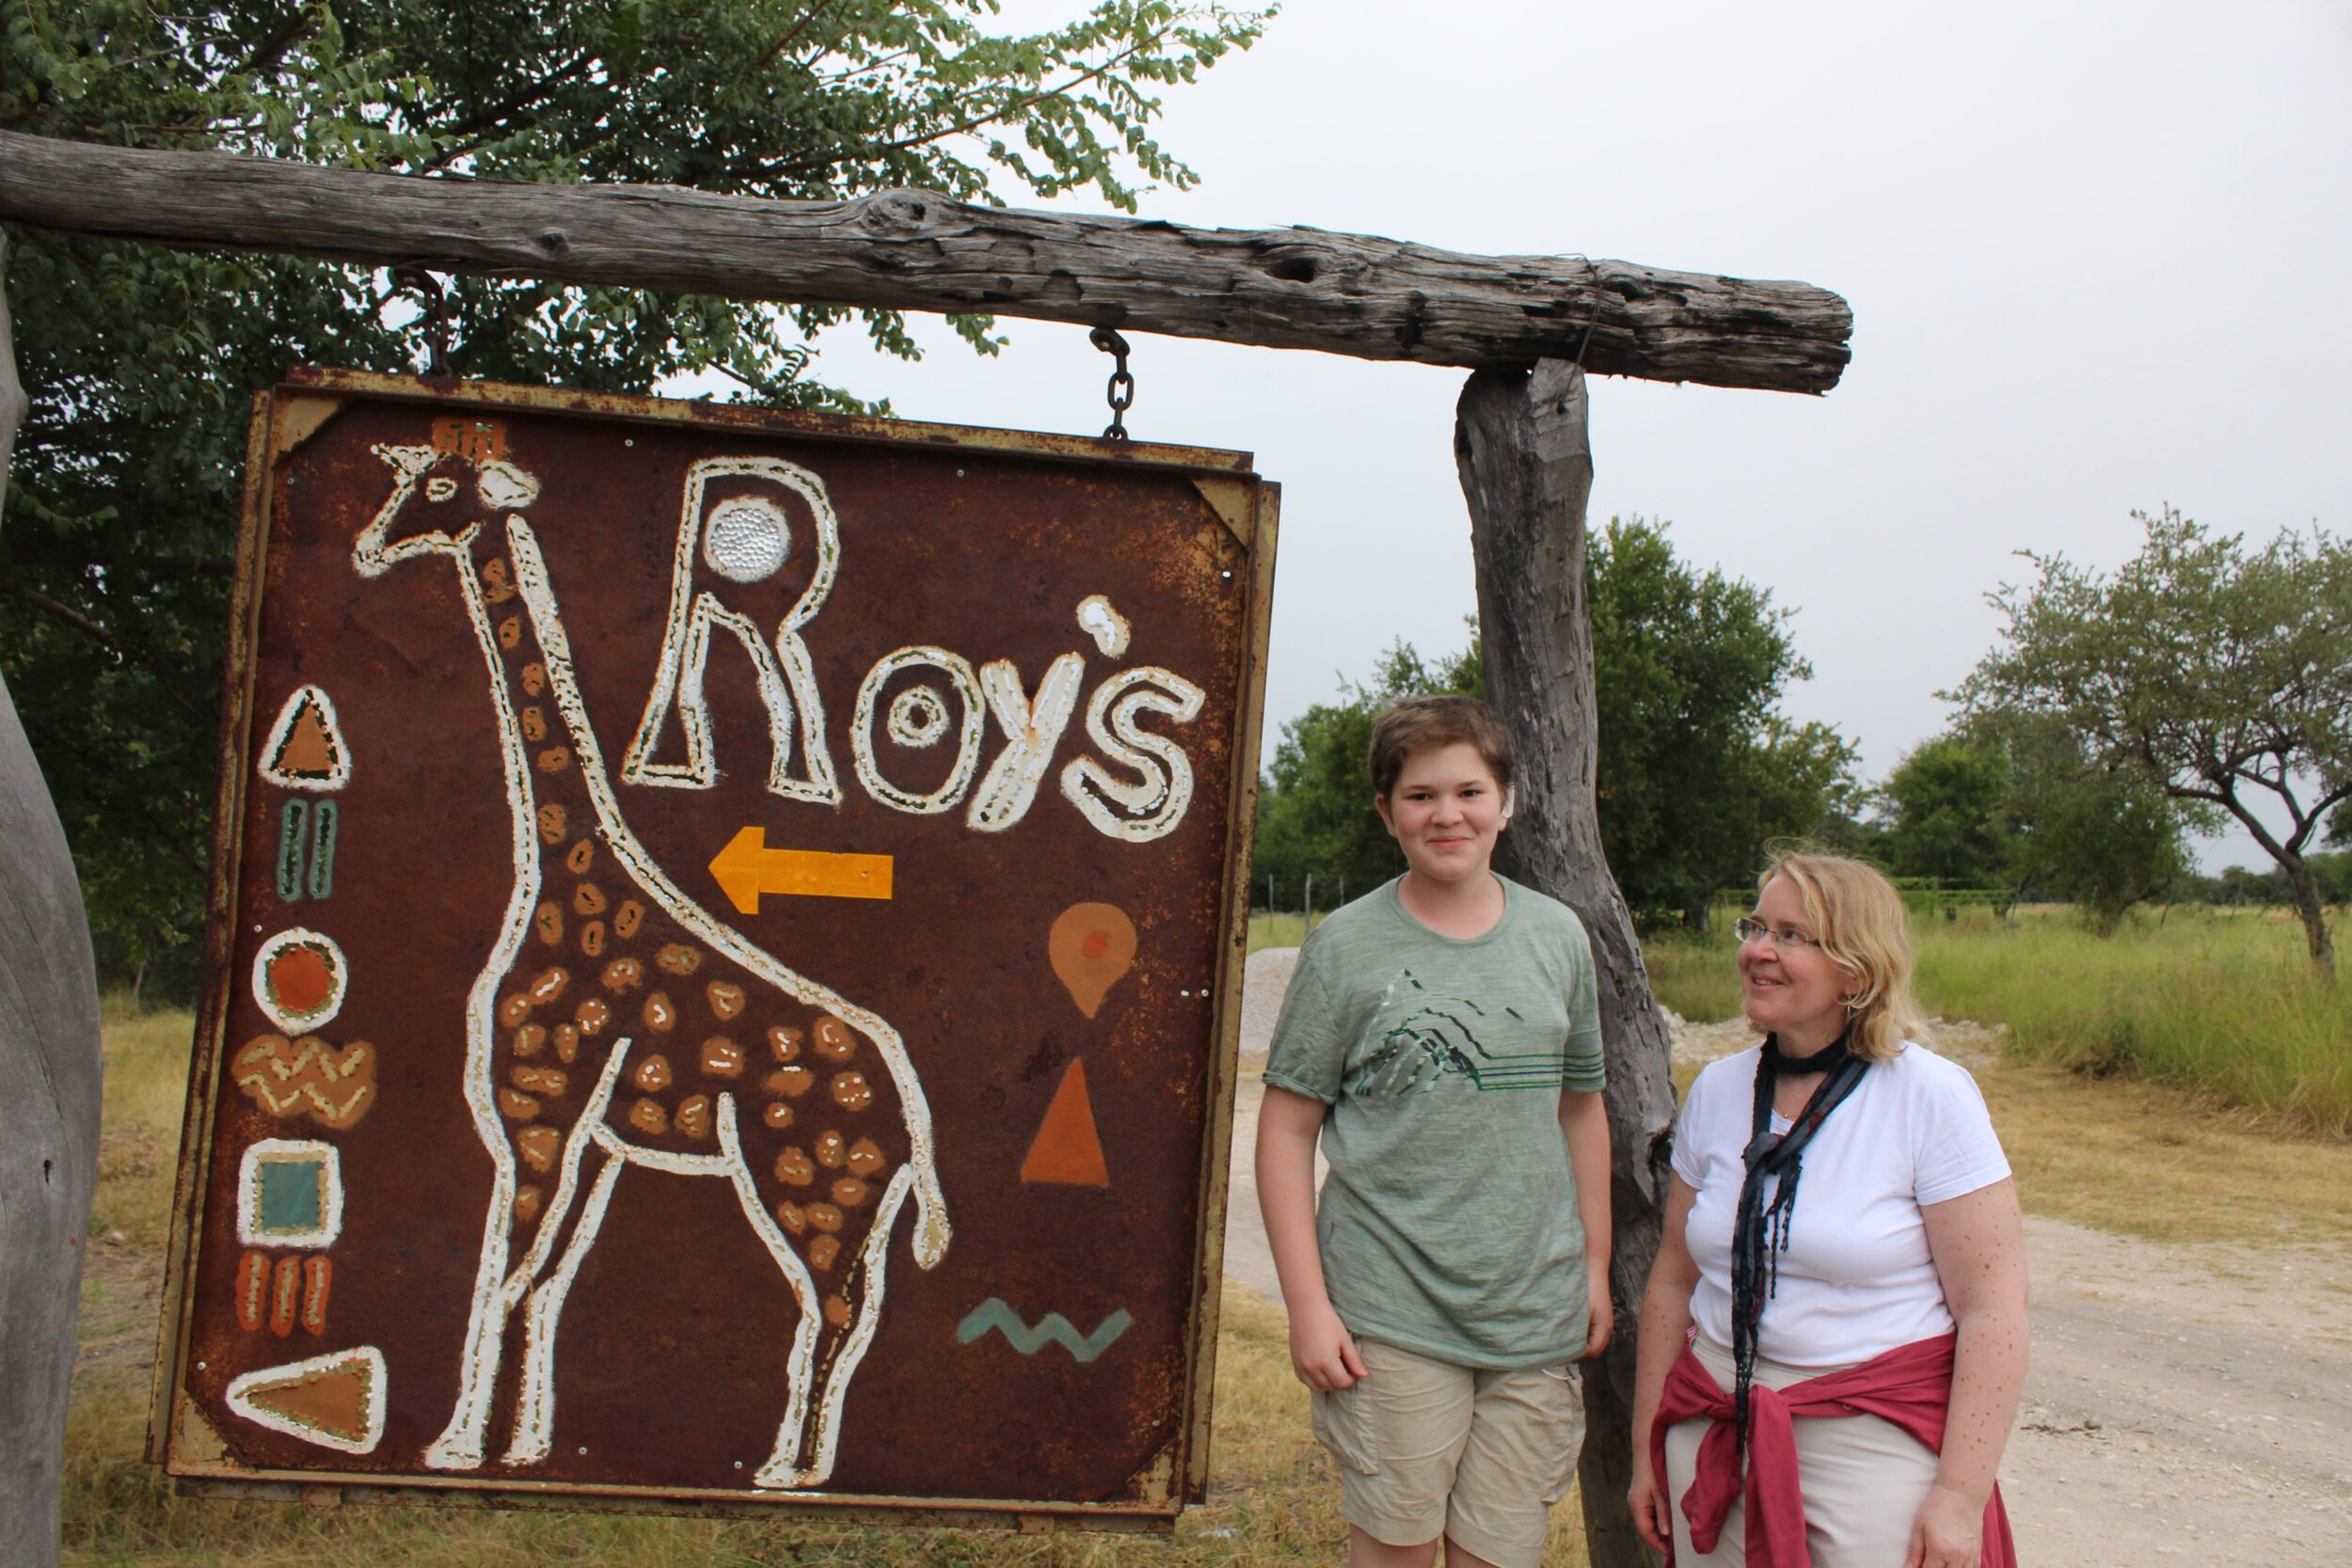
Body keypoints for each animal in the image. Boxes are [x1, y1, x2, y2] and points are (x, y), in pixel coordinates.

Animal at [353, 439, 941, 1485]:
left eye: (439, 488)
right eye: (403, 479)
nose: (371, 546)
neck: (558, 870)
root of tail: (915, 1131)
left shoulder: (536, 1110)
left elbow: (501, 1277)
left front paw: (456, 1445)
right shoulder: (591, 1139)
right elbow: (542, 1282)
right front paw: (522, 1445)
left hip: (807, 1186)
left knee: (830, 1307)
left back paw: (788, 1468)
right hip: (849, 1202)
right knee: (846, 1307)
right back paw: (796, 1461)